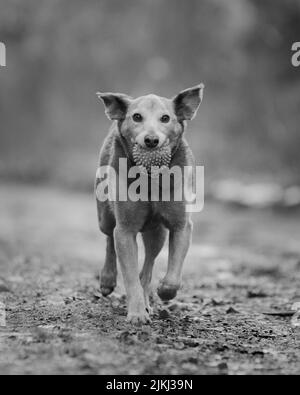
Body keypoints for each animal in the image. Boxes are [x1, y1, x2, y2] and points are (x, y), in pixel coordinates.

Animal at [95, 84, 204, 324]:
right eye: (137, 117)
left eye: (165, 118)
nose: (152, 140)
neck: (151, 178)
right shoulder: (125, 230)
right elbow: (130, 276)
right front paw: (136, 313)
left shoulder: (181, 225)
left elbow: (172, 275)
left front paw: (164, 291)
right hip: (104, 217)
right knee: (109, 238)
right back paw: (107, 280)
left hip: (157, 233)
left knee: (148, 266)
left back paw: (148, 298)